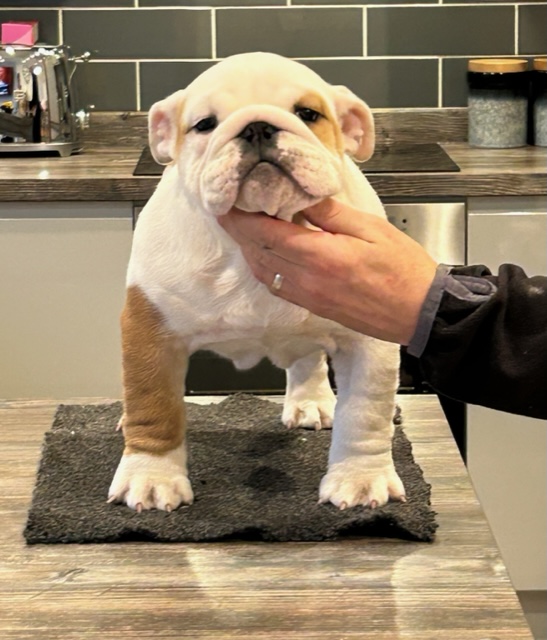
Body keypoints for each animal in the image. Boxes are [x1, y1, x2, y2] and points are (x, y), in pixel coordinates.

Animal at [108, 52, 406, 513]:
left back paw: (311, 401)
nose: (257, 127)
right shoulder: (150, 327)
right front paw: (151, 477)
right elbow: (154, 404)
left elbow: (365, 414)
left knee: (308, 359)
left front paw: (359, 478)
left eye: (308, 114)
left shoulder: (369, 334)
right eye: (204, 124)